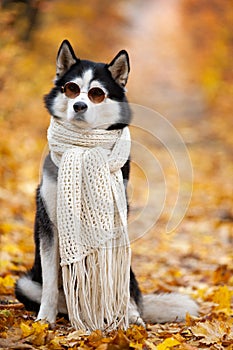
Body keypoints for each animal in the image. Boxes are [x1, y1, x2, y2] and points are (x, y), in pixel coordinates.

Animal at [14, 39, 198, 326]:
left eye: (96, 93)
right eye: (72, 88)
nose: (79, 106)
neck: (83, 148)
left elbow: (108, 281)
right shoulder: (49, 224)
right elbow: (50, 283)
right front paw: (45, 319)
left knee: (128, 293)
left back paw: (129, 315)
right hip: (25, 283)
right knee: (59, 297)